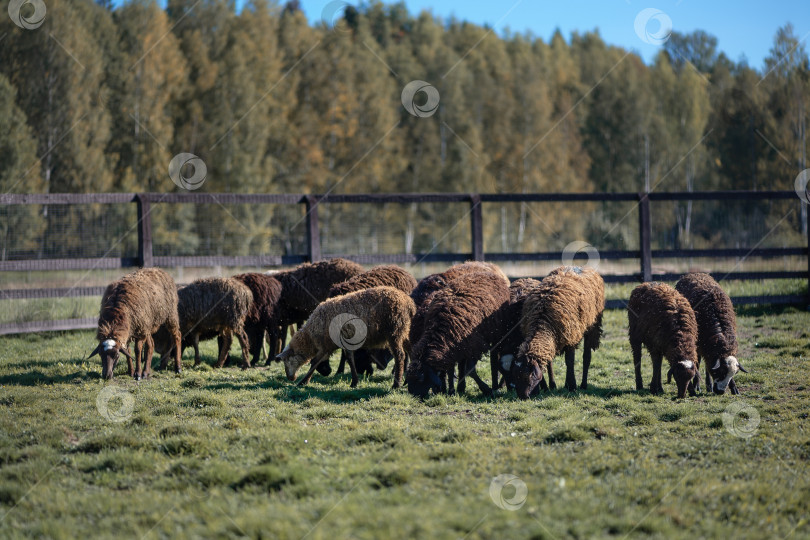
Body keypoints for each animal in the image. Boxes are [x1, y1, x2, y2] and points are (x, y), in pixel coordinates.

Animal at [278, 286, 416, 388]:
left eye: (287, 360)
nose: (290, 378)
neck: (310, 337)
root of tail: (408, 302)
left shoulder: (325, 346)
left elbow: (314, 363)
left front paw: (302, 382)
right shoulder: (339, 342)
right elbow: (349, 359)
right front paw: (355, 382)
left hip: (394, 331)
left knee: (400, 356)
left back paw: (396, 384)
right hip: (404, 330)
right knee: (411, 350)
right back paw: (407, 381)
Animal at [504, 268, 600, 398]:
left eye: (530, 375)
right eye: (515, 376)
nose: (523, 396)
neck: (541, 323)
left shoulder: (570, 337)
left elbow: (569, 361)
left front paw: (571, 386)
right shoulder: (551, 340)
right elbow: (549, 362)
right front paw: (550, 386)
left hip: (592, 326)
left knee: (586, 357)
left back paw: (583, 385)